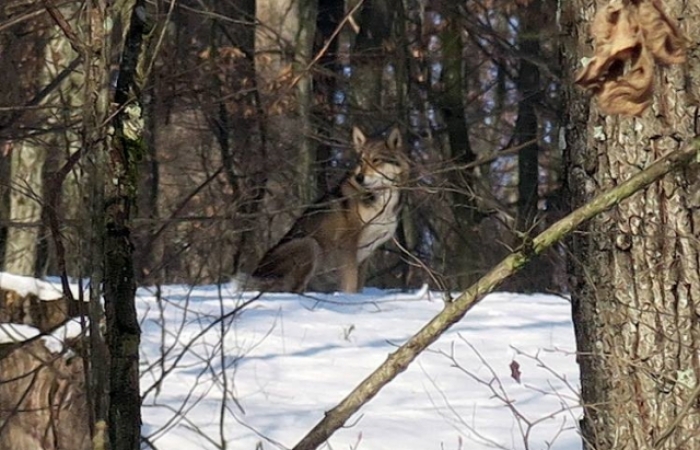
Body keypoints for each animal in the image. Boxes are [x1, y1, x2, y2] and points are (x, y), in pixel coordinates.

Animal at [249, 126, 408, 294]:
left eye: (376, 160)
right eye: (361, 161)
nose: (359, 178)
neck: (381, 199)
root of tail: (256, 274)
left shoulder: (367, 253)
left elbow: (359, 286)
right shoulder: (348, 246)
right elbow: (350, 285)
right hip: (310, 244)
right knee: (292, 290)